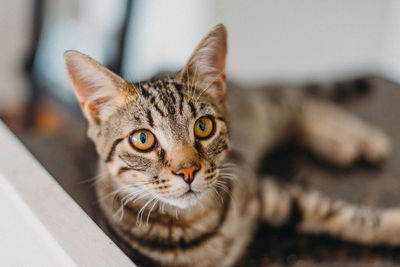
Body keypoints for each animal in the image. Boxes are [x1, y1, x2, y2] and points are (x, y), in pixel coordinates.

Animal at [64, 24, 398, 266]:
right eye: (143, 140)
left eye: (203, 126)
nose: (188, 171)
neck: (197, 224)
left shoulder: (262, 187)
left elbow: (340, 213)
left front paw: (391, 225)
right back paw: (343, 145)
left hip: (266, 109)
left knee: (300, 105)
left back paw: (359, 138)